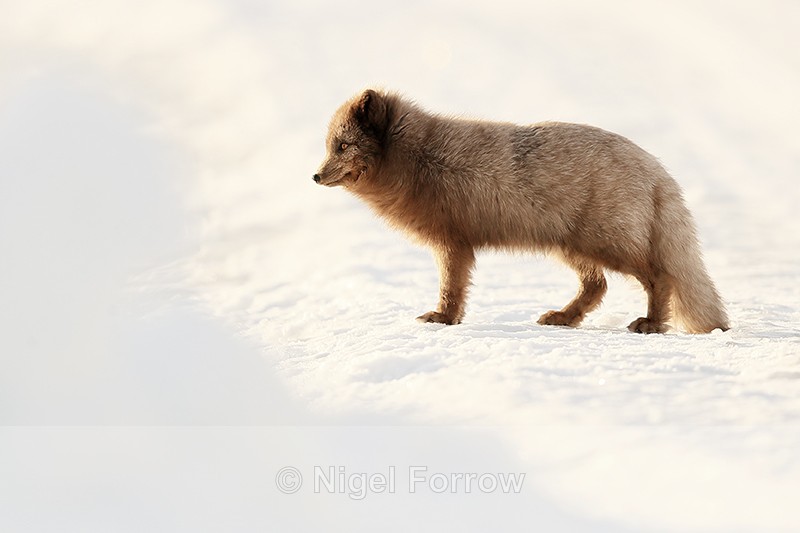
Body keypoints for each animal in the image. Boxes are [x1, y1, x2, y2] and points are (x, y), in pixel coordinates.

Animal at [313, 89, 729, 334]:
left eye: (343, 146)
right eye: (331, 146)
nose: (315, 176)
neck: (422, 159)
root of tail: (657, 170)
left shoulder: (453, 242)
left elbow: (450, 289)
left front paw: (443, 320)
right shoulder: (457, 243)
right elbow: (455, 288)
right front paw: (449, 320)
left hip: (608, 244)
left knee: (660, 277)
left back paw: (652, 323)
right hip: (572, 247)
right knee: (597, 286)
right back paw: (563, 318)